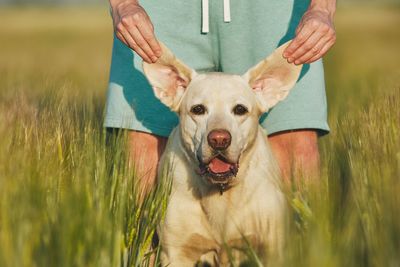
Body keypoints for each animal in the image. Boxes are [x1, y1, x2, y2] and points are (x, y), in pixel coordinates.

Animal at [142, 40, 302, 266]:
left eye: (240, 109)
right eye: (198, 109)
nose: (219, 139)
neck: (220, 191)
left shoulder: (272, 249)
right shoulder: (176, 253)